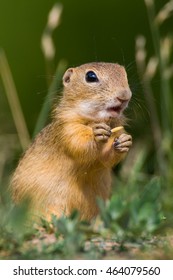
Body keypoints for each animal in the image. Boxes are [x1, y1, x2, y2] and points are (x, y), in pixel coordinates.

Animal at [11, 61, 132, 221]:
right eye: (91, 76)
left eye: (124, 74)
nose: (125, 96)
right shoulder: (68, 130)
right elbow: (78, 144)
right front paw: (96, 133)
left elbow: (106, 158)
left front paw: (125, 141)